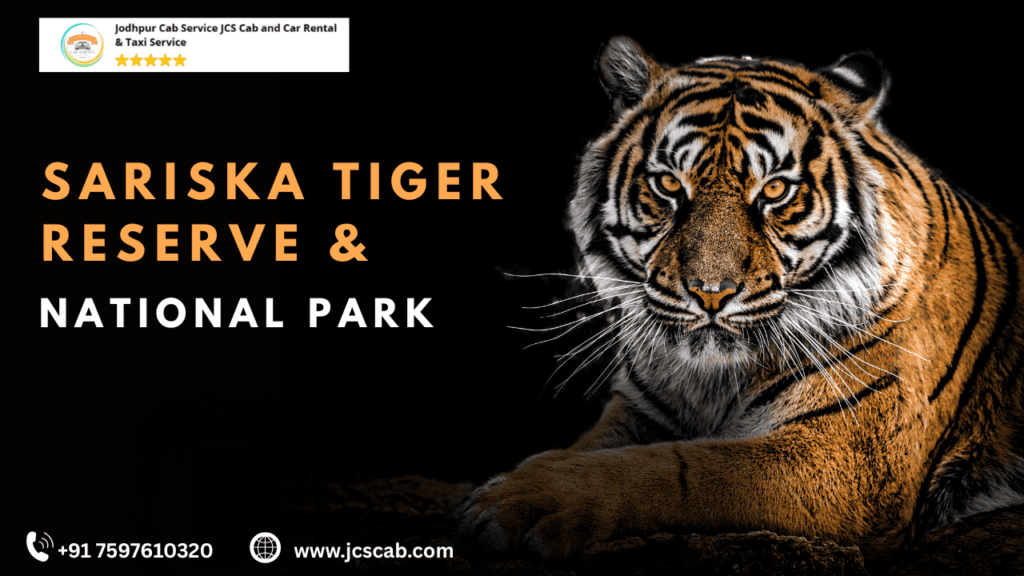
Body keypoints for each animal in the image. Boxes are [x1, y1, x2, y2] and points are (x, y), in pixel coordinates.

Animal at [454, 36, 1024, 563]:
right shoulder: (638, 409)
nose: (712, 294)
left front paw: (524, 500)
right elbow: (594, 449)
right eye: (668, 185)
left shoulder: (850, 458)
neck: (712, 379)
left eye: (774, 191)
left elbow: (680, 468)